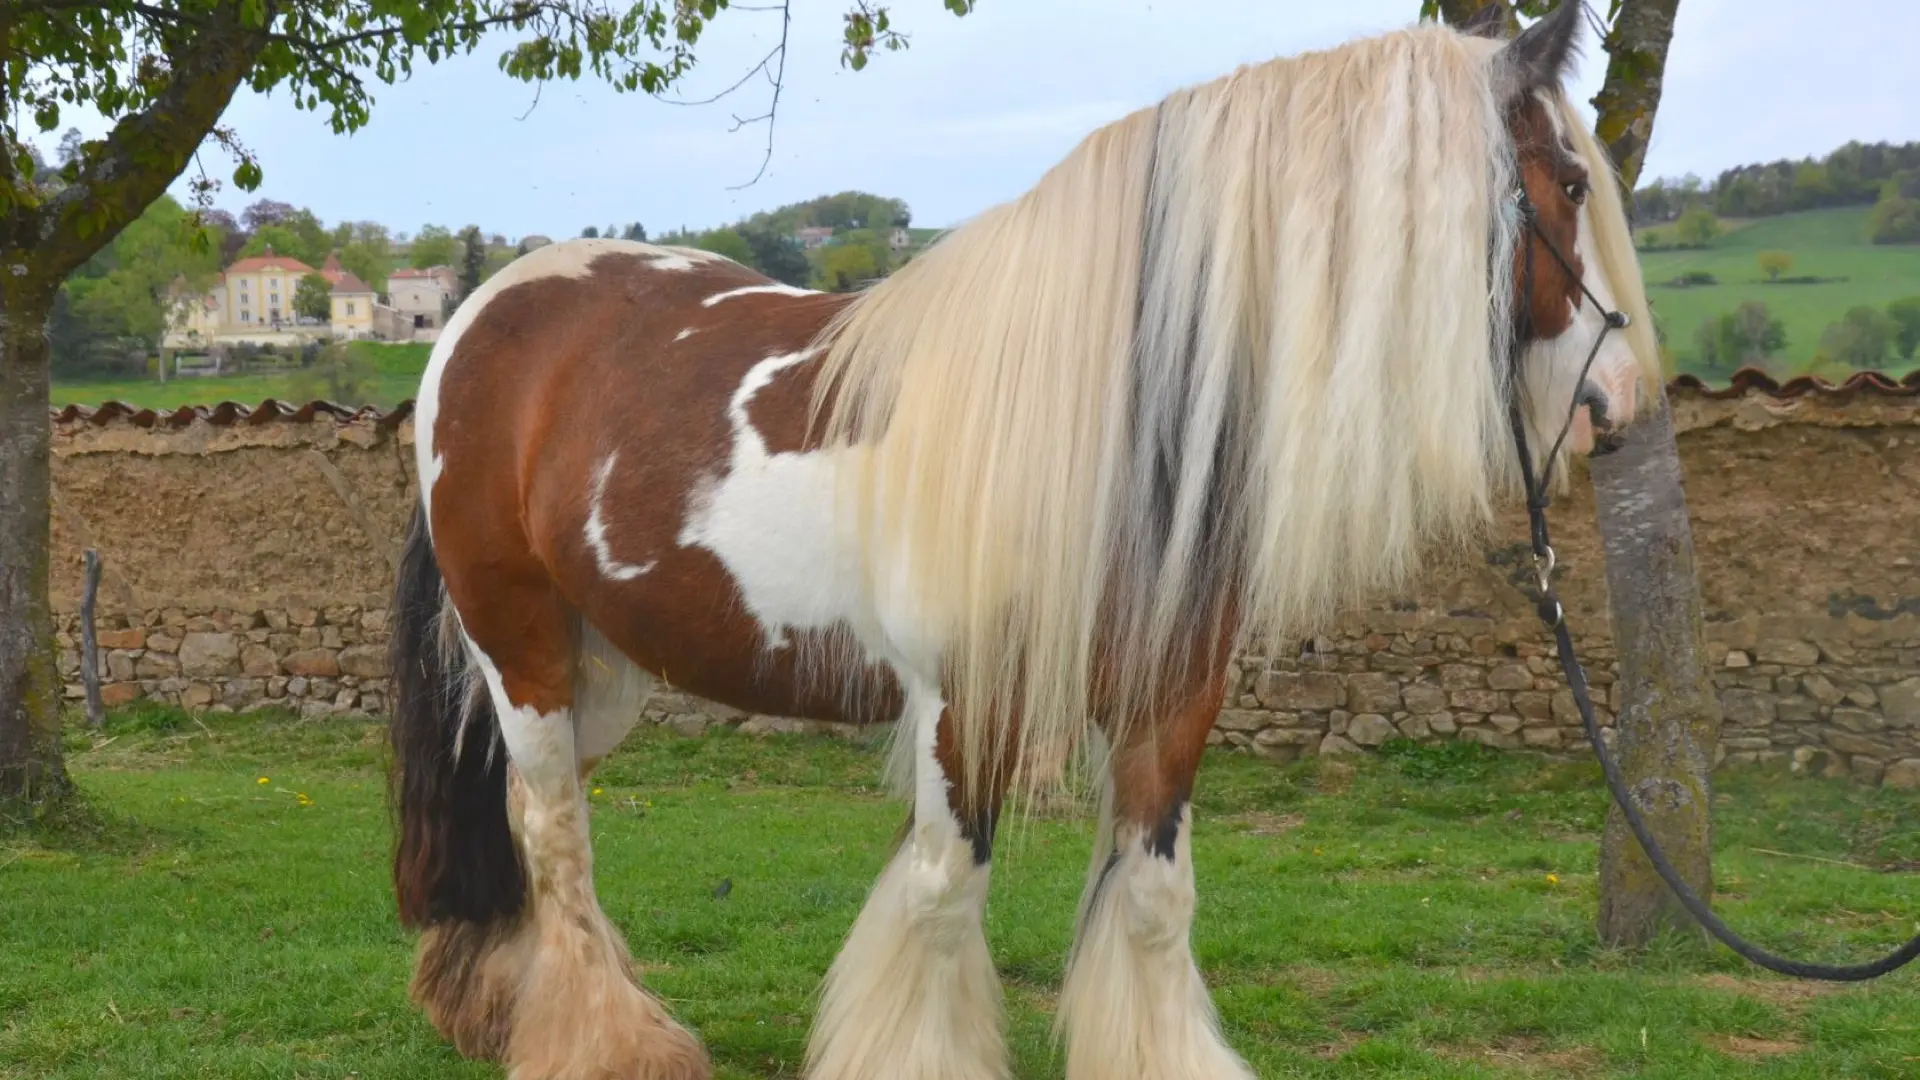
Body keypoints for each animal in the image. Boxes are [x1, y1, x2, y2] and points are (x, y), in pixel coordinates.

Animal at [386, 5, 1660, 1079]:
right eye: (1568, 179)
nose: (1623, 404)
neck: (1097, 420)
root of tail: (485, 311)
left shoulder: (1168, 702)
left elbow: (1153, 902)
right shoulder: (966, 710)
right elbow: (945, 898)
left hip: (603, 672)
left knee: (525, 817)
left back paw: (494, 1005)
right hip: (522, 645)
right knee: (556, 832)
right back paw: (610, 1044)